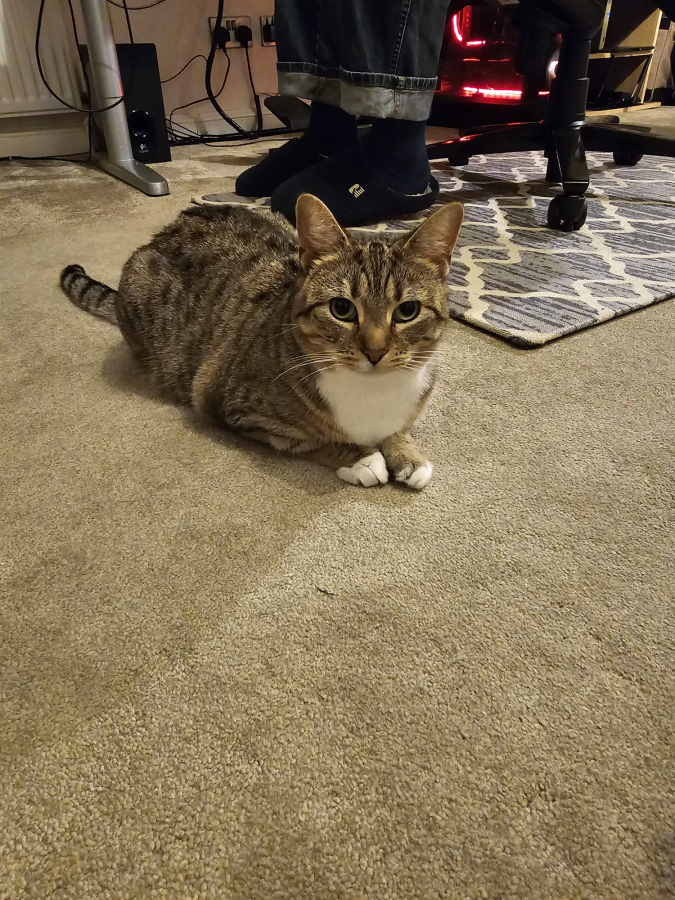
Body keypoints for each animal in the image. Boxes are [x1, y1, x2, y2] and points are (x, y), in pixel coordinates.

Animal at [60, 194, 463, 489]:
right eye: (342, 309)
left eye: (407, 310)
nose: (375, 351)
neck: (373, 393)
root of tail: (165, 231)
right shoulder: (229, 403)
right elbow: (312, 440)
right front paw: (361, 457)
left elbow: (398, 428)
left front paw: (407, 455)